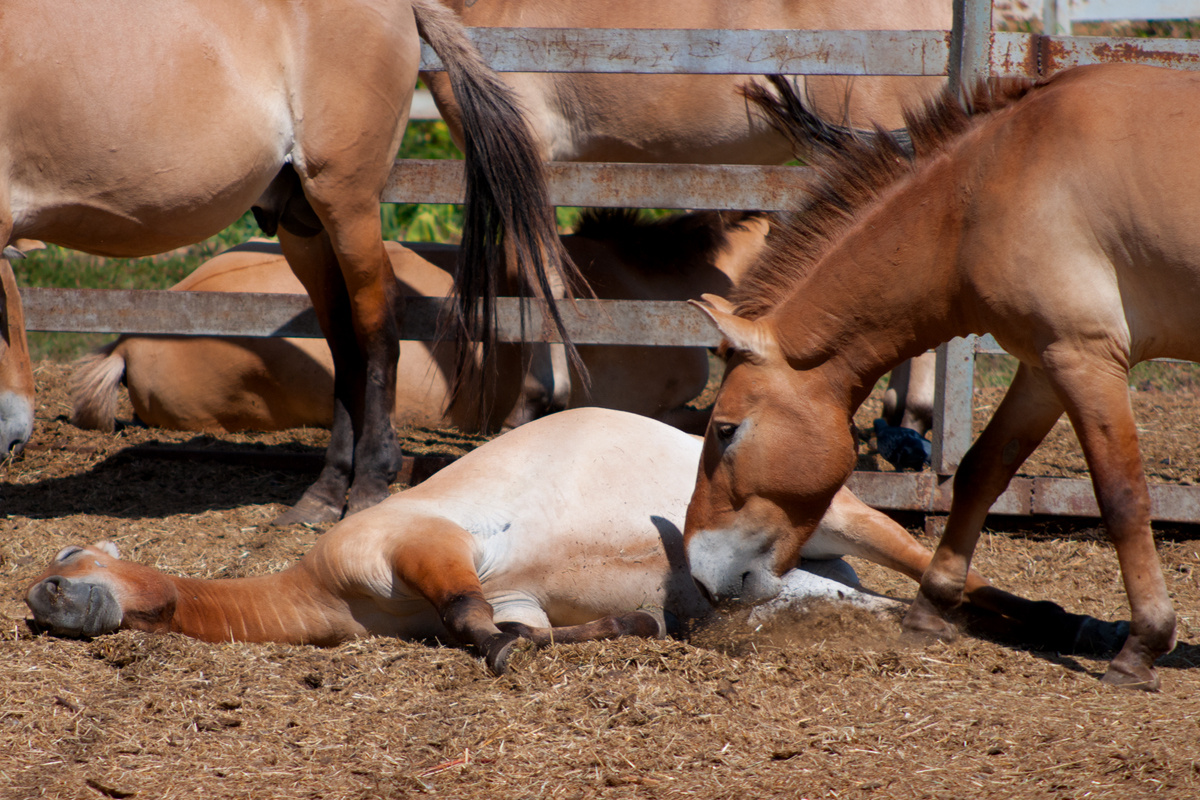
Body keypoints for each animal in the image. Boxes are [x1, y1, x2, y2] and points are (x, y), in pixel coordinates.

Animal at [0, 0, 580, 527]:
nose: (12, 440)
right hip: (304, 223)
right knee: (344, 341)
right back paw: (325, 494)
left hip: (347, 202)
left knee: (377, 327)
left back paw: (370, 484)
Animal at [686, 62, 1200, 690]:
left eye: (725, 430)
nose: (700, 575)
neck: (984, 188)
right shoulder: (1045, 362)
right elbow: (981, 471)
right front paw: (931, 608)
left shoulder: (1086, 355)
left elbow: (1121, 495)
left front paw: (1142, 645)